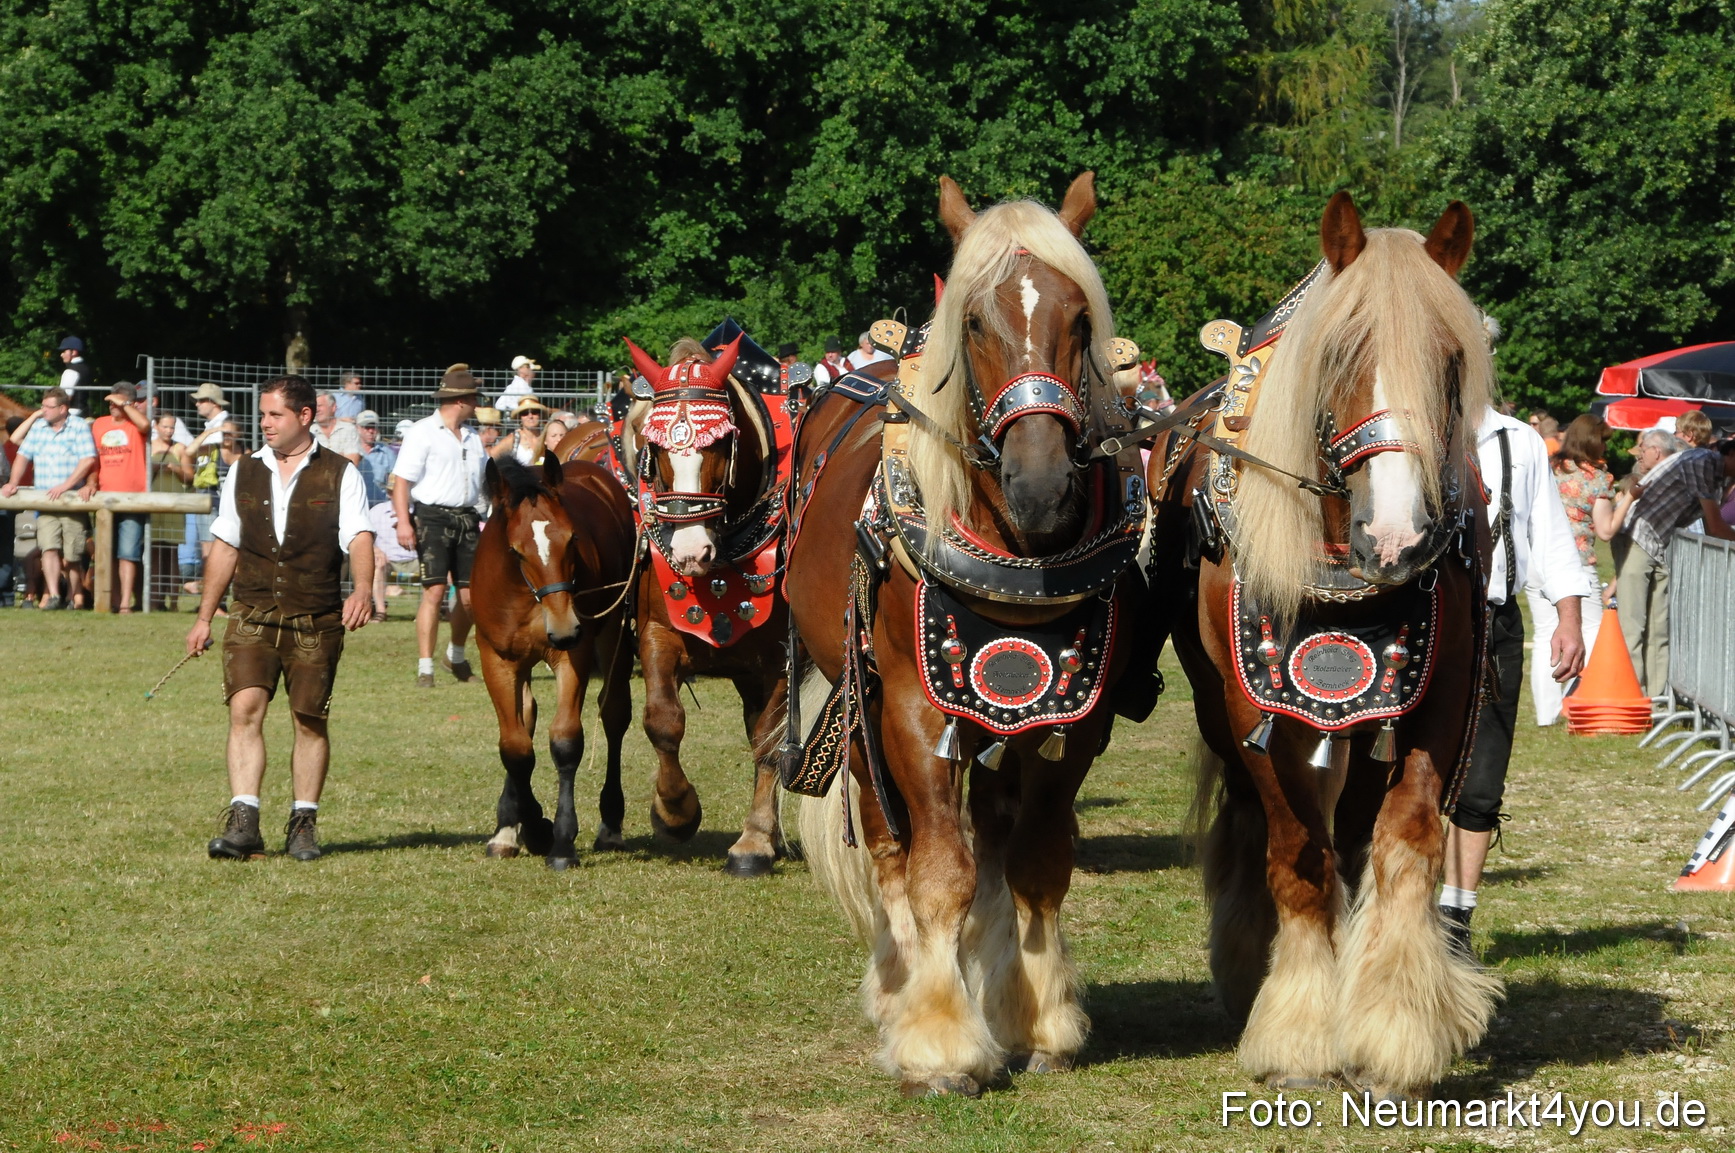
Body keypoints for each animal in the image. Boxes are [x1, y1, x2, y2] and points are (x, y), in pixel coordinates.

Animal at [470, 453, 637, 869]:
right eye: (516, 551)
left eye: (572, 539)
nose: (563, 628)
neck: (524, 595)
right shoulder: (497, 660)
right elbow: (515, 747)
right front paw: (523, 827)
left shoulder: (571, 656)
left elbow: (565, 741)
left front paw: (559, 841)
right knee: (527, 715)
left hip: (613, 633)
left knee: (614, 713)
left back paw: (610, 825)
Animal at [618, 333, 794, 877]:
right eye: (653, 447)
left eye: (718, 443)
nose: (691, 552)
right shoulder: (657, 635)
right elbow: (662, 720)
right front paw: (675, 811)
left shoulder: (781, 657)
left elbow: (769, 739)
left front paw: (754, 841)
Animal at [785, 172, 1151, 1096]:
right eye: (977, 322)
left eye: (1079, 319)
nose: (1040, 486)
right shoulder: (913, 713)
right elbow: (939, 871)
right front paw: (941, 1042)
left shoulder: (1069, 719)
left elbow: (1033, 862)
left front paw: (1037, 1019)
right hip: (859, 706)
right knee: (891, 846)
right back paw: (898, 985)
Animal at [1144, 192, 1502, 1097]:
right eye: (1340, 353)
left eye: (1452, 360)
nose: (1398, 537)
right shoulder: (1255, 706)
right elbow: (1295, 854)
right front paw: (1301, 1030)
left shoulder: (1439, 694)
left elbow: (1405, 841)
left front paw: (1395, 1029)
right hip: (1225, 707)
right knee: (1260, 820)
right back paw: (1250, 968)